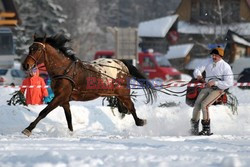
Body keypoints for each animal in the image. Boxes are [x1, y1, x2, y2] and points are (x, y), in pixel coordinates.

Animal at [22, 33, 157, 136]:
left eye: (37, 49)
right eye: (30, 48)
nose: (25, 65)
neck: (64, 70)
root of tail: (121, 64)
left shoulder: (60, 97)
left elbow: (43, 112)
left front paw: (28, 129)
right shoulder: (64, 100)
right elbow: (69, 118)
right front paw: (71, 133)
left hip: (123, 93)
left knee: (131, 107)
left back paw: (140, 121)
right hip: (116, 93)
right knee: (123, 108)